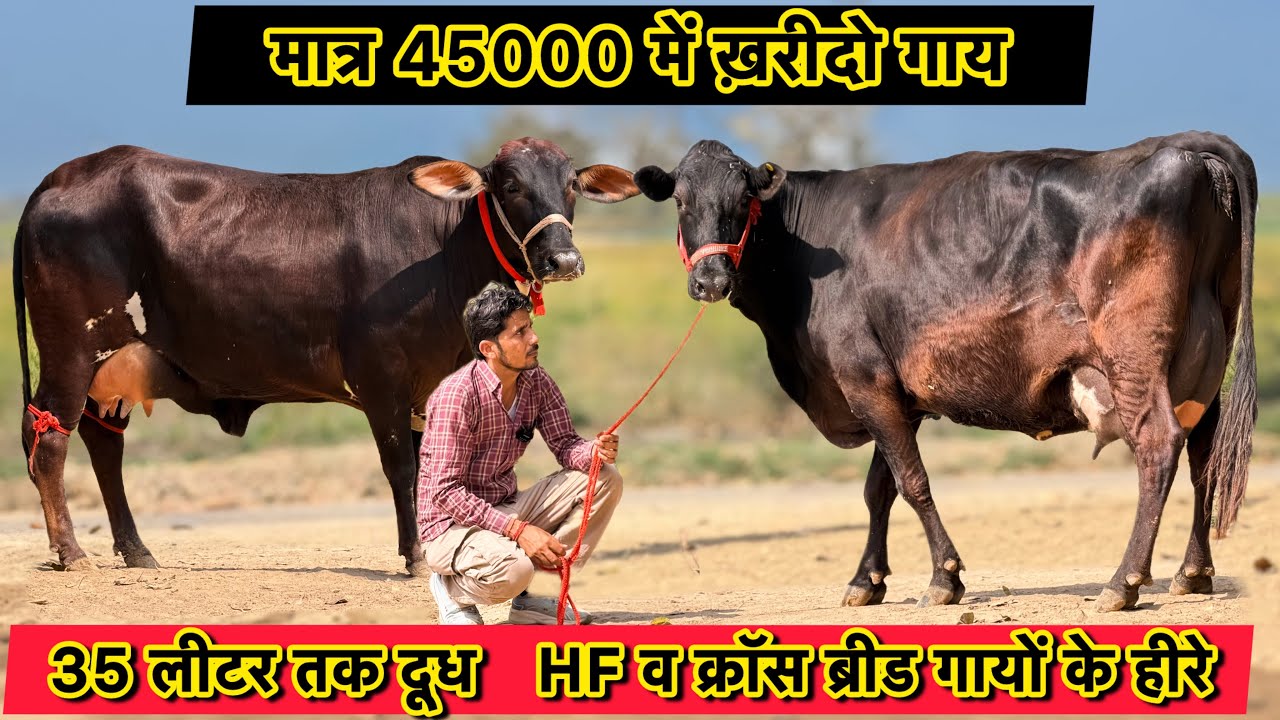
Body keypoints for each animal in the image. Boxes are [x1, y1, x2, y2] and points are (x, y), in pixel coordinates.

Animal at [14, 138, 641, 575]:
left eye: (571, 185)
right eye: (509, 183)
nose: (564, 259)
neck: (444, 252)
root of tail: (59, 178)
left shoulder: (427, 390)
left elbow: (426, 468)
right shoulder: (382, 381)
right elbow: (404, 468)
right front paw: (416, 557)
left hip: (113, 371)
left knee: (102, 445)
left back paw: (136, 550)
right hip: (71, 353)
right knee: (48, 438)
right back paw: (72, 552)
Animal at [634, 131, 1256, 611]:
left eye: (743, 201)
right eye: (681, 201)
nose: (711, 279)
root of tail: (1180, 147)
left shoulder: (864, 380)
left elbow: (912, 482)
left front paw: (943, 578)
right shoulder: (892, 391)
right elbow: (879, 488)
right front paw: (867, 580)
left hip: (1134, 358)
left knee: (1159, 445)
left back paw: (1122, 583)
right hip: (1204, 362)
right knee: (1204, 451)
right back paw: (1193, 573)